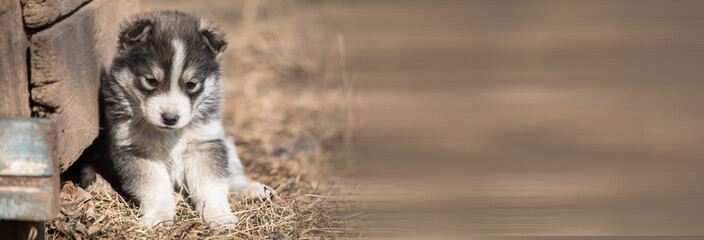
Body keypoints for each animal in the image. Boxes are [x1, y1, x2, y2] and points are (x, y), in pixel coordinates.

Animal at [102, 11, 270, 228]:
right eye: (151, 81)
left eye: (191, 84)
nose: (170, 118)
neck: (169, 135)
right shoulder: (136, 150)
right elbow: (154, 187)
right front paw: (159, 216)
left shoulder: (206, 144)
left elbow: (213, 184)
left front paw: (219, 216)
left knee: (231, 174)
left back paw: (252, 190)